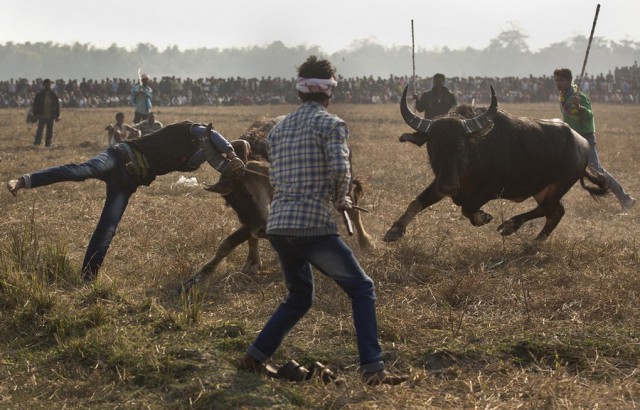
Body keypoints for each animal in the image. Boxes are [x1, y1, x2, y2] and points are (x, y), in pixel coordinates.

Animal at [181, 116, 376, 292]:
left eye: (271, 190)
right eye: (240, 193)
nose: (264, 230)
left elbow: (231, 241)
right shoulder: (249, 219)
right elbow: (234, 241)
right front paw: (250, 263)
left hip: (345, 179)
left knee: (353, 211)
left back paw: (366, 242)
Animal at [382, 85, 608, 242]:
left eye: (460, 145)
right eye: (433, 146)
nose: (448, 187)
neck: (471, 164)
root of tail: (582, 144)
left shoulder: (492, 189)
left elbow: (467, 207)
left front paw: (482, 217)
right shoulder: (442, 181)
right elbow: (417, 201)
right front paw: (394, 230)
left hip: (559, 185)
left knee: (547, 209)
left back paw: (510, 226)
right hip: (542, 188)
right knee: (556, 212)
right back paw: (535, 241)